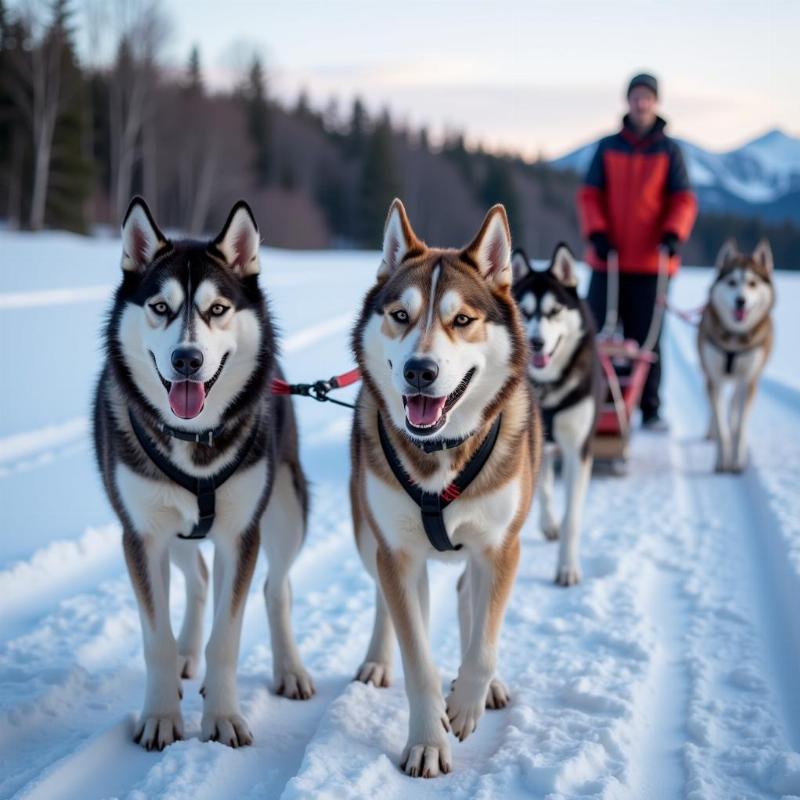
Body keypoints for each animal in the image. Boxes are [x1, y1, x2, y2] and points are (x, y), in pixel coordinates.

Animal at [95, 198, 314, 752]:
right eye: (160, 307)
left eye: (217, 309)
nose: (187, 359)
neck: (194, 439)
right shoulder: (142, 534)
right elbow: (157, 638)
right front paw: (160, 715)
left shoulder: (241, 534)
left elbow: (227, 638)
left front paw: (222, 717)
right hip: (176, 529)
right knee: (196, 578)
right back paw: (185, 656)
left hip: (287, 510)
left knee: (276, 589)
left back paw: (289, 669)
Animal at [348, 198, 536, 776]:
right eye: (400, 315)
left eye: (463, 320)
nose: (419, 371)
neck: (441, 452)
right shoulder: (397, 553)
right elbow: (418, 660)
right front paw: (428, 740)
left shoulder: (501, 546)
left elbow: (483, 644)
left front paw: (468, 702)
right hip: (368, 539)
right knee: (392, 603)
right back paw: (377, 660)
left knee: (472, 604)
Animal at [512, 244, 600, 588]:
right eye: (524, 311)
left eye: (554, 311)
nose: (536, 342)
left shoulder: (579, 448)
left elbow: (571, 518)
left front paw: (567, 568)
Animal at [700, 238, 776, 476]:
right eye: (732, 282)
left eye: (752, 283)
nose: (740, 301)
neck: (734, 337)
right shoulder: (714, 377)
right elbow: (721, 425)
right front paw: (721, 461)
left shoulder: (748, 379)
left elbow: (740, 426)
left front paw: (737, 460)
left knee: (734, 405)